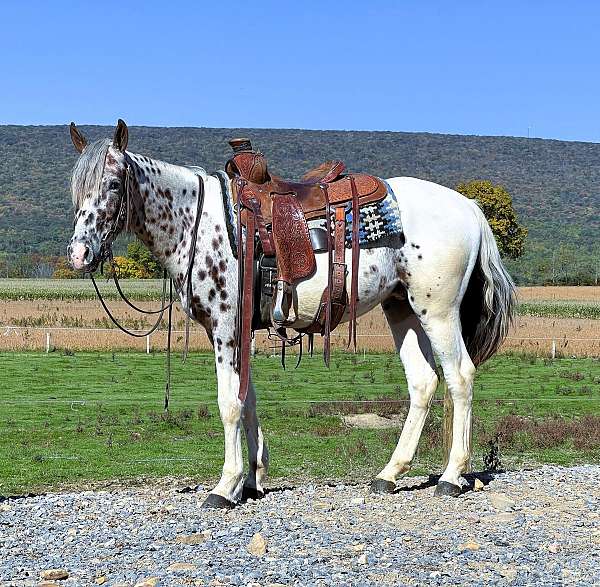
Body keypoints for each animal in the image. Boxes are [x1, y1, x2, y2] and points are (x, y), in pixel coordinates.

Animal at [67, 120, 516, 510]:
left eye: (112, 183)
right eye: (76, 189)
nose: (79, 253)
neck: (196, 222)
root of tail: (469, 206)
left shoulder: (225, 327)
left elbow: (228, 403)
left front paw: (224, 486)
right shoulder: (239, 332)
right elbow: (247, 399)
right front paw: (251, 480)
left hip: (437, 311)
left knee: (460, 377)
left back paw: (451, 477)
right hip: (402, 309)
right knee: (423, 382)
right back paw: (388, 475)